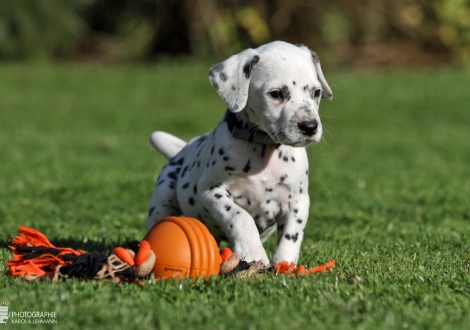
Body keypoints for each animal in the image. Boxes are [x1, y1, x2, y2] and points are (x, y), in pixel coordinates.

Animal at [147, 40, 330, 264]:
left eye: (316, 92)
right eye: (276, 93)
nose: (310, 127)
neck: (263, 148)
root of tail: (182, 150)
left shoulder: (298, 200)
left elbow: (291, 235)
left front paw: (284, 263)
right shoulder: (212, 192)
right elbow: (240, 216)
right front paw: (253, 252)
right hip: (163, 199)